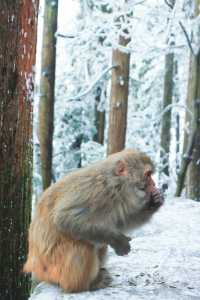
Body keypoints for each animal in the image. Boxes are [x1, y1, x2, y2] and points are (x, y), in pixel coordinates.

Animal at [23, 149, 164, 292]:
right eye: (148, 175)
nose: (154, 184)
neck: (115, 183)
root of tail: (33, 266)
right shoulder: (96, 191)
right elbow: (65, 218)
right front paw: (118, 241)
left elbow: (118, 223)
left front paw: (153, 202)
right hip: (53, 267)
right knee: (83, 244)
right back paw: (85, 285)